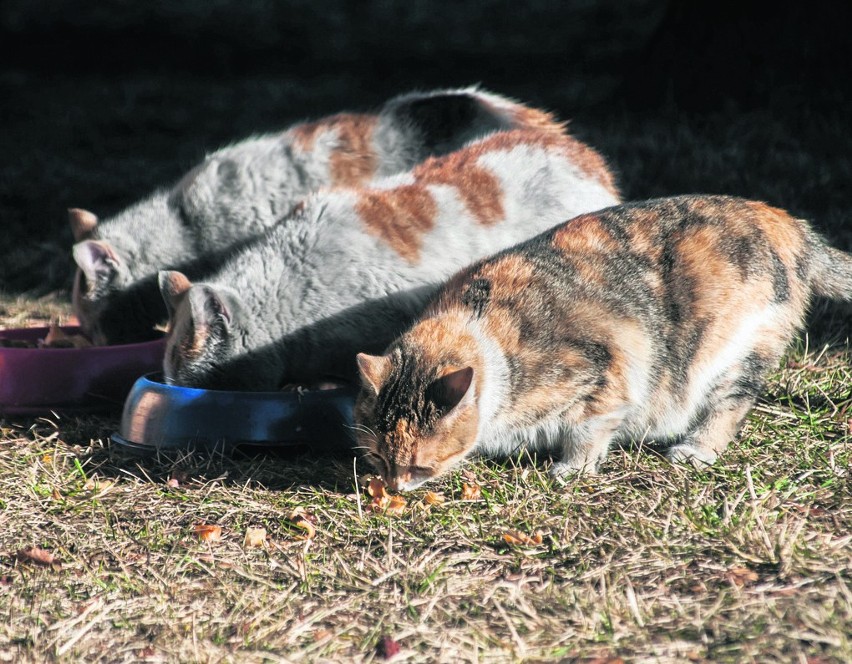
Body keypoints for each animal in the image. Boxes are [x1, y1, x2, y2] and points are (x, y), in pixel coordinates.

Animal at [354, 195, 852, 490]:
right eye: (377, 457)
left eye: (419, 466)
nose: (394, 488)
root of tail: (789, 224)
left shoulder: (602, 375)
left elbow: (587, 429)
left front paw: (571, 470)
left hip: (736, 353)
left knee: (729, 406)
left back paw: (695, 450)